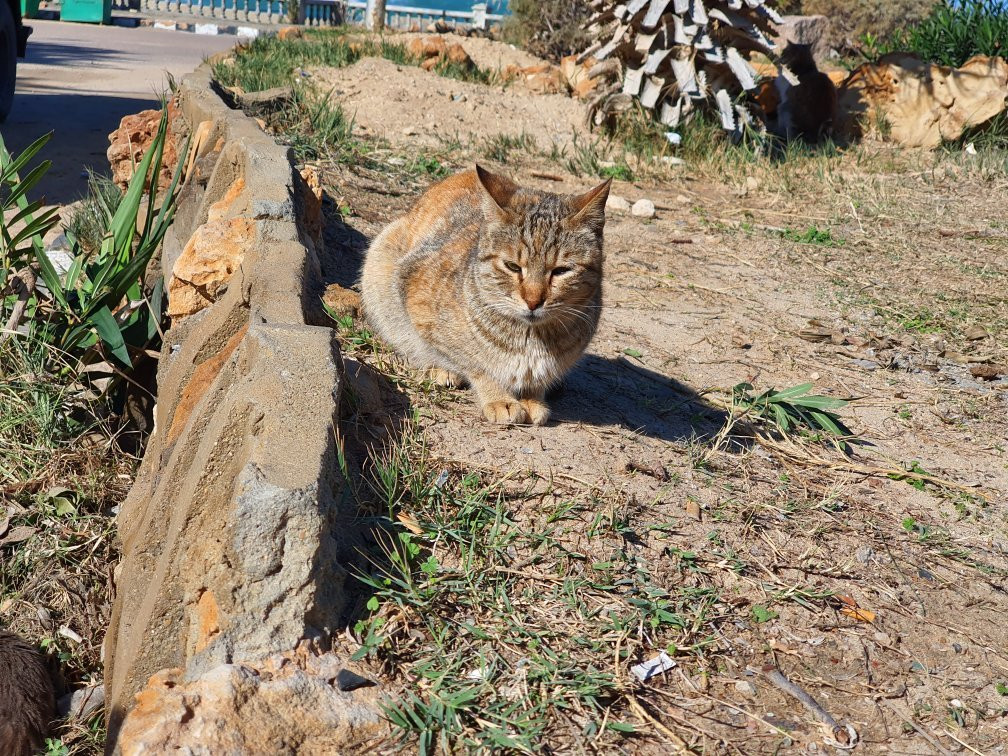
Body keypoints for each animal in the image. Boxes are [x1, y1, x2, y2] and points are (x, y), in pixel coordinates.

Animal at [364, 166, 612, 427]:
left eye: (561, 270)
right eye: (513, 266)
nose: (533, 301)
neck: (530, 338)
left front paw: (533, 398)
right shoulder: (415, 299)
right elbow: (472, 361)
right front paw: (499, 398)